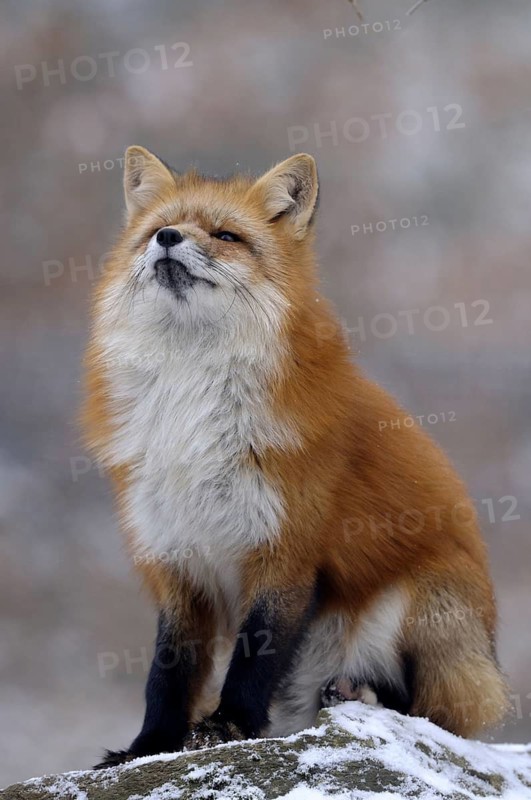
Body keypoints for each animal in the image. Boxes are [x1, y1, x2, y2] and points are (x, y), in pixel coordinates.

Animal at [83, 146, 508, 767]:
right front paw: (150, 747)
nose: (166, 237)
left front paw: (229, 725)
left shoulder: (286, 550)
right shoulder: (176, 557)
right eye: (157, 229)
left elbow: (256, 655)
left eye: (226, 235)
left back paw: (365, 694)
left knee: (437, 714)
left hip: (418, 602)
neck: (192, 406)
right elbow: (169, 670)